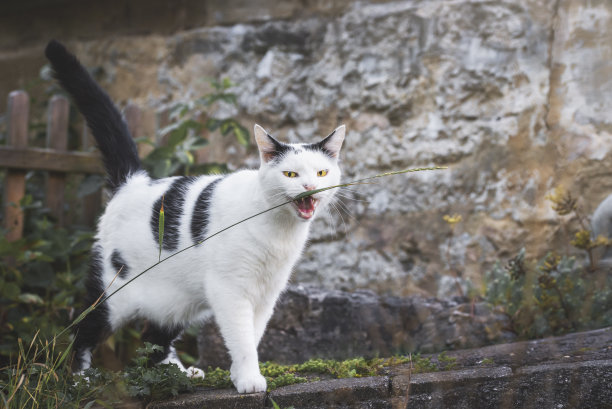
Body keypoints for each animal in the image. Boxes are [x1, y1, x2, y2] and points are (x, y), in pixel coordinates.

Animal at [44, 39, 344, 392]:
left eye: (322, 172)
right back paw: (80, 379)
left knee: (153, 339)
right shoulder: (230, 289)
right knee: (83, 328)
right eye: (291, 174)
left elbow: (253, 335)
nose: (310, 186)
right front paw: (249, 380)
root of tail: (132, 182)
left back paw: (175, 373)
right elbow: (241, 337)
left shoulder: (267, 293)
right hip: (113, 292)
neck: (279, 230)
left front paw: (240, 374)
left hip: (176, 299)